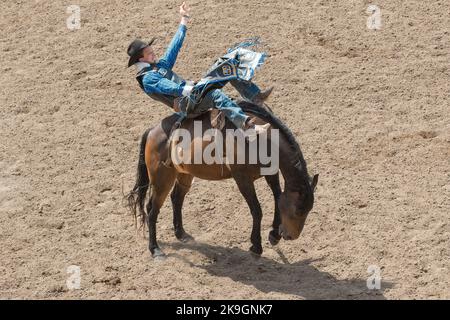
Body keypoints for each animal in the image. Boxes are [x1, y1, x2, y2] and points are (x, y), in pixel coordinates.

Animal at [125, 101, 318, 258]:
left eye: (308, 210)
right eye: (299, 210)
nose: (291, 236)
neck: (260, 139)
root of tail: (152, 131)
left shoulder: (271, 173)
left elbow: (278, 198)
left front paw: (273, 235)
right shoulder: (242, 179)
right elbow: (257, 210)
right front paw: (256, 246)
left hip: (184, 174)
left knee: (176, 198)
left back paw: (181, 234)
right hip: (161, 179)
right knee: (152, 209)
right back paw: (155, 249)